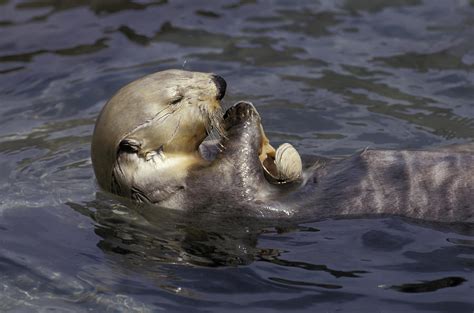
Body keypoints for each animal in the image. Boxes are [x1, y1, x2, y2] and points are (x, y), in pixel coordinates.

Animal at [90, 69, 474, 223]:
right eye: (175, 99)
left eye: (182, 72)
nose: (220, 83)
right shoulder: (208, 196)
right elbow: (242, 177)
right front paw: (240, 115)